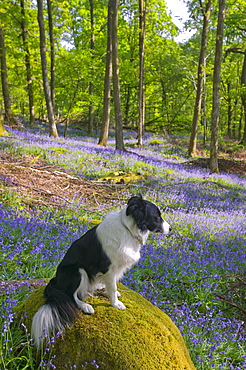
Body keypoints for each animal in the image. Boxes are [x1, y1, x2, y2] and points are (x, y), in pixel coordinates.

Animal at [31, 195, 171, 348]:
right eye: (157, 217)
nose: (170, 229)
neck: (128, 229)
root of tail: (55, 280)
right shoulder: (108, 268)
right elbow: (112, 285)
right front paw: (115, 304)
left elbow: (111, 285)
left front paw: (109, 293)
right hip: (77, 271)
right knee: (71, 295)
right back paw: (85, 306)